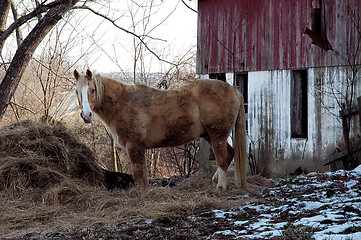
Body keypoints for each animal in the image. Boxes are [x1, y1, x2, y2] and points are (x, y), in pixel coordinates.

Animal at [73, 69, 248, 191]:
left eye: (93, 90)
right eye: (76, 91)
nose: (86, 115)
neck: (124, 103)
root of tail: (233, 89)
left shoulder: (134, 147)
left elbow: (139, 176)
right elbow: (143, 176)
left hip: (218, 135)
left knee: (222, 159)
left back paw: (220, 187)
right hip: (209, 136)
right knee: (229, 154)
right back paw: (215, 180)